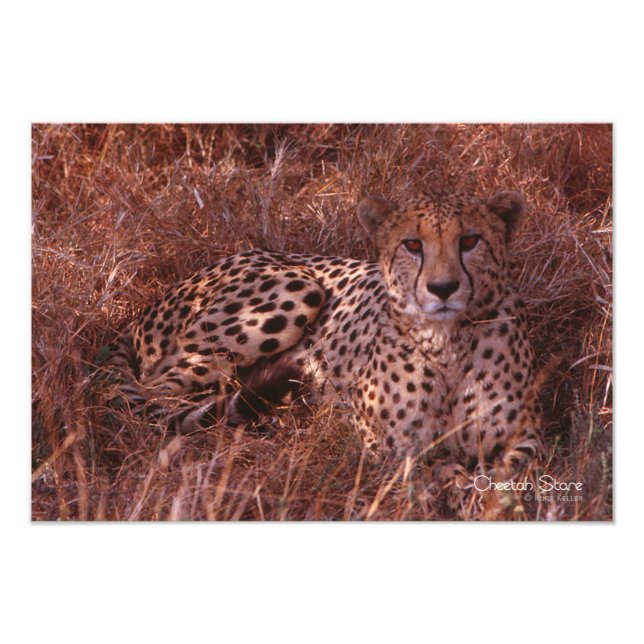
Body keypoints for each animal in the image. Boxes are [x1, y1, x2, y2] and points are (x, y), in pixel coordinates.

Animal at [103, 189, 543, 472]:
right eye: (413, 245)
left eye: (470, 240)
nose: (443, 288)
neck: (447, 342)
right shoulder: (386, 445)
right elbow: (435, 471)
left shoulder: (528, 438)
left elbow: (508, 474)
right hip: (297, 289)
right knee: (155, 393)